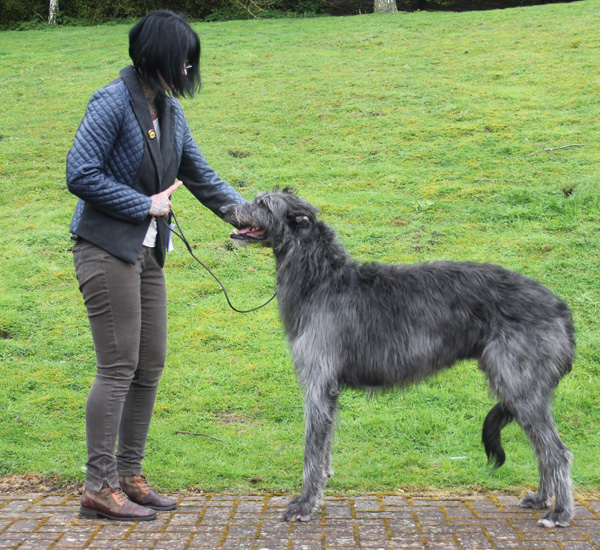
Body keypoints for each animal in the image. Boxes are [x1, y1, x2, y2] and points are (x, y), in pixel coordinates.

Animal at [221, 191, 576, 532]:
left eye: (263, 203)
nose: (225, 208)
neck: (322, 281)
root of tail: (560, 307)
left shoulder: (318, 384)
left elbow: (312, 452)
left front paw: (304, 504)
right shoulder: (329, 390)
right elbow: (324, 451)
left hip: (519, 384)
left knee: (558, 453)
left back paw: (560, 512)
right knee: (543, 450)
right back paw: (542, 499)